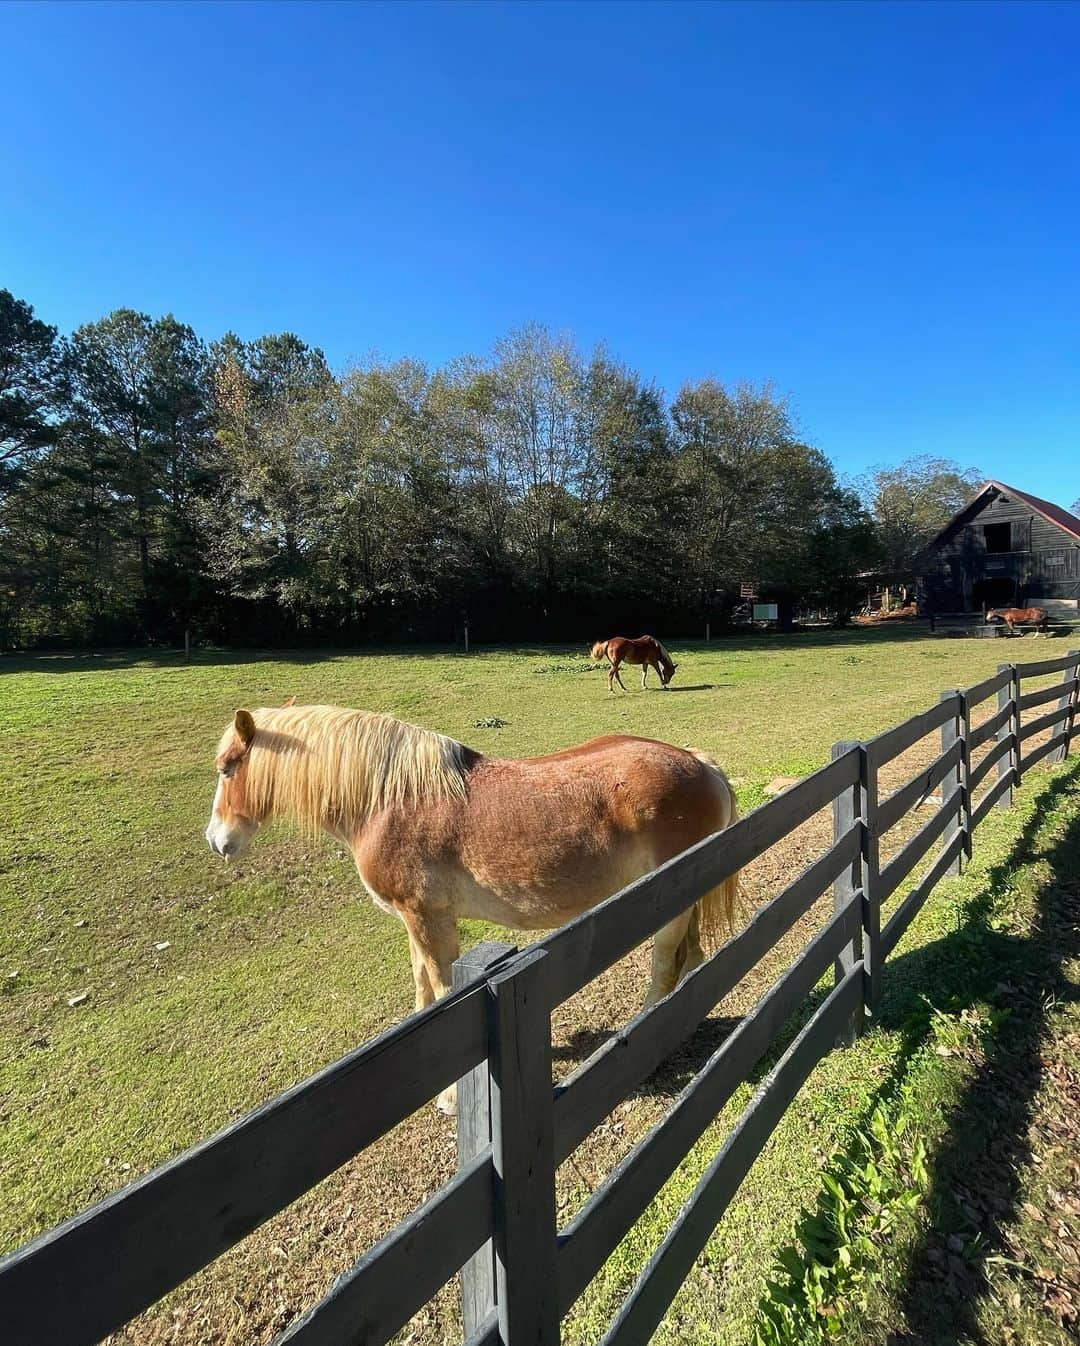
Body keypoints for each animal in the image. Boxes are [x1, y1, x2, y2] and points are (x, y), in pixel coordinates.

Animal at [206, 705, 737, 1114]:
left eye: (228, 767)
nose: (217, 841)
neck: (390, 802)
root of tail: (699, 763)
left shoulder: (430, 918)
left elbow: (442, 991)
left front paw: (449, 1097)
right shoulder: (415, 920)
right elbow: (422, 984)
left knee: (665, 961)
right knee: (690, 958)